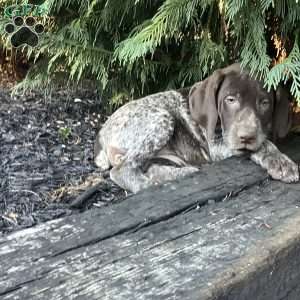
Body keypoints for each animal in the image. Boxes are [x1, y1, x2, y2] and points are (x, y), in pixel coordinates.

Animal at [95, 64, 298, 193]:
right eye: (230, 99)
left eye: (264, 103)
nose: (246, 137)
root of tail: (102, 134)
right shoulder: (216, 146)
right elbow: (265, 145)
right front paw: (280, 161)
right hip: (161, 119)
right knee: (121, 170)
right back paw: (151, 185)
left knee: (151, 167)